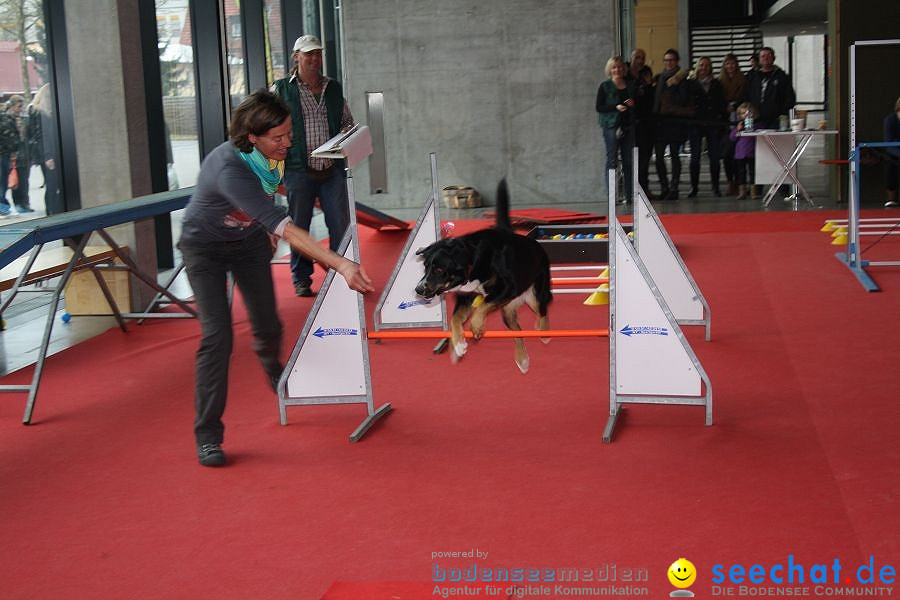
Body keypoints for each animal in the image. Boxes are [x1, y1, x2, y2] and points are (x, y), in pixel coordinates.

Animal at [416, 180, 556, 372]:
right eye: (425, 267)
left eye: (438, 269)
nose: (418, 289)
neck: (474, 260)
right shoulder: (465, 296)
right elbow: (455, 319)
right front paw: (459, 345)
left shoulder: (507, 288)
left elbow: (481, 308)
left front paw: (476, 327)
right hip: (507, 309)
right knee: (517, 331)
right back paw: (522, 359)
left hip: (535, 293)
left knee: (543, 310)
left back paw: (544, 332)